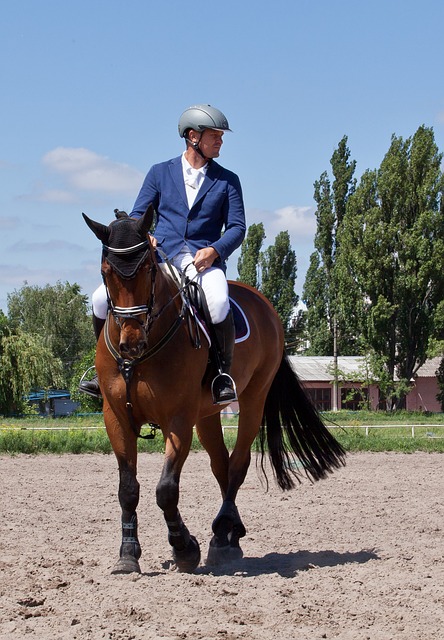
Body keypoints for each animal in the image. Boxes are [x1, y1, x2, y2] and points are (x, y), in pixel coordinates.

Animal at [83, 206, 346, 576]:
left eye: (149, 269)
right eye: (106, 271)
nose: (131, 343)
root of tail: (262, 301)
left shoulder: (178, 419)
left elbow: (166, 489)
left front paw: (184, 549)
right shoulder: (116, 417)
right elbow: (127, 489)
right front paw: (128, 555)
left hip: (252, 400)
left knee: (237, 464)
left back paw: (222, 537)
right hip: (205, 414)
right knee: (221, 465)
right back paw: (230, 533)